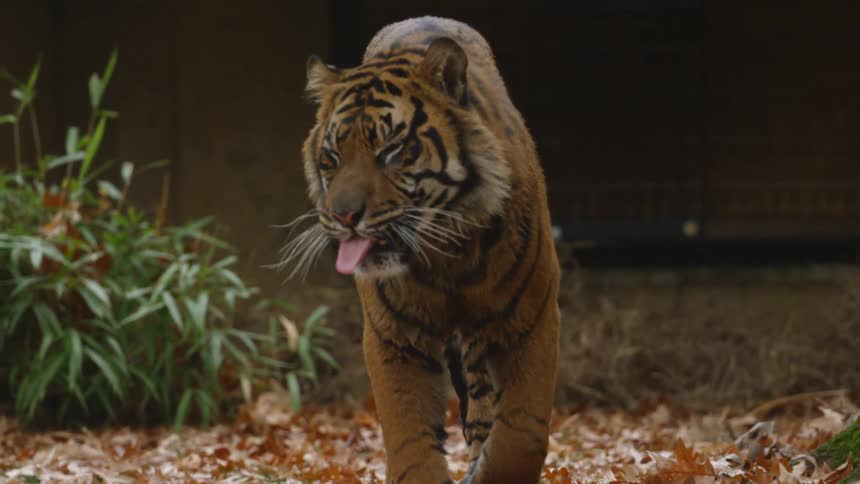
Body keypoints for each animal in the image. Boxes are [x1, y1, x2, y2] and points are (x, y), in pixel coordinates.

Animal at [295, 16, 560, 484]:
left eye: (391, 151)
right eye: (332, 156)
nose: (344, 215)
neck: (445, 261)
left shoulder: (532, 317)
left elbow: (521, 433)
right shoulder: (394, 337)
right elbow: (409, 440)